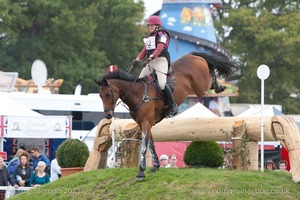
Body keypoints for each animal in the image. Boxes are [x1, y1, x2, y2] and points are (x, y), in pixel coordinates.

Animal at [95, 51, 236, 180]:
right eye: (100, 96)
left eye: (108, 94)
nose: (108, 115)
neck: (137, 94)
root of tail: (192, 55)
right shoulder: (144, 124)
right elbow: (151, 145)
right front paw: (155, 166)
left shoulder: (146, 123)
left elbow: (143, 147)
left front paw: (141, 172)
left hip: (201, 88)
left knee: (210, 74)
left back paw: (219, 85)